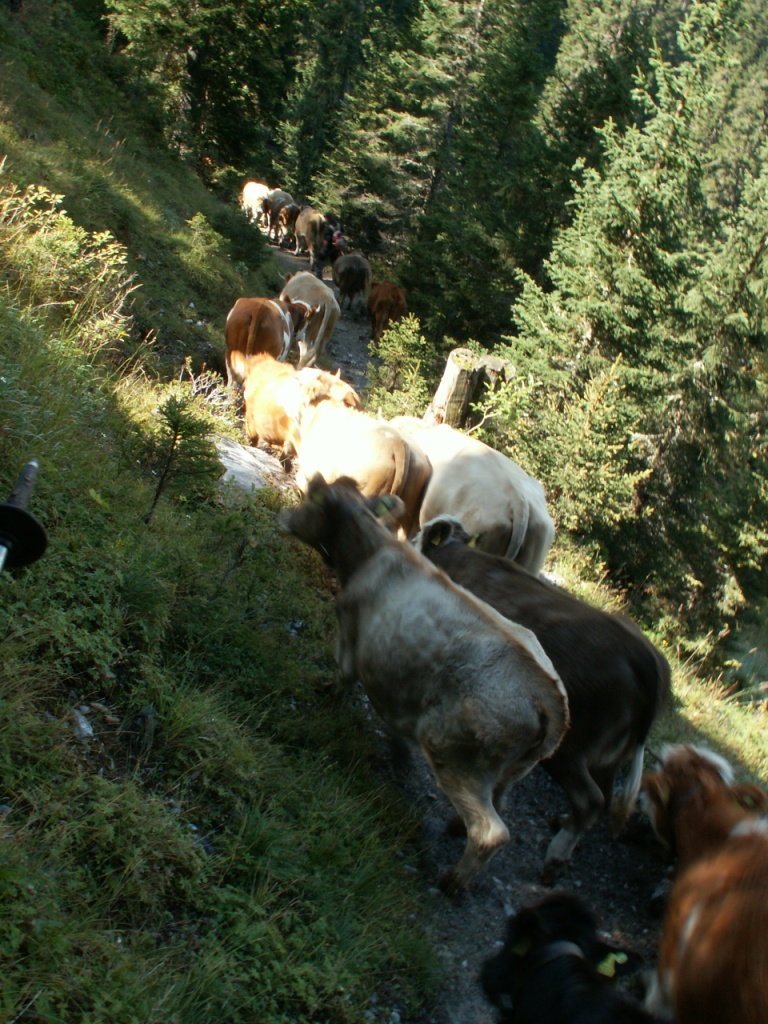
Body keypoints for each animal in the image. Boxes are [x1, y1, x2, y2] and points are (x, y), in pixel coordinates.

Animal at [280, 475, 569, 893]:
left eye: (310, 500)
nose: (285, 516)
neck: (371, 555)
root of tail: (547, 692)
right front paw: (397, 754)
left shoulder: (350, 629)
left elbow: (343, 673)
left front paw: (327, 696)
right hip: (509, 772)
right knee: (499, 804)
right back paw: (454, 829)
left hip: (453, 752)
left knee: (492, 830)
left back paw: (454, 881)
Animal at [413, 516, 672, 882]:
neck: (455, 556)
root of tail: (642, 657)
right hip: (608, 757)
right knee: (606, 796)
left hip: (570, 750)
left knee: (591, 800)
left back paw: (555, 858)